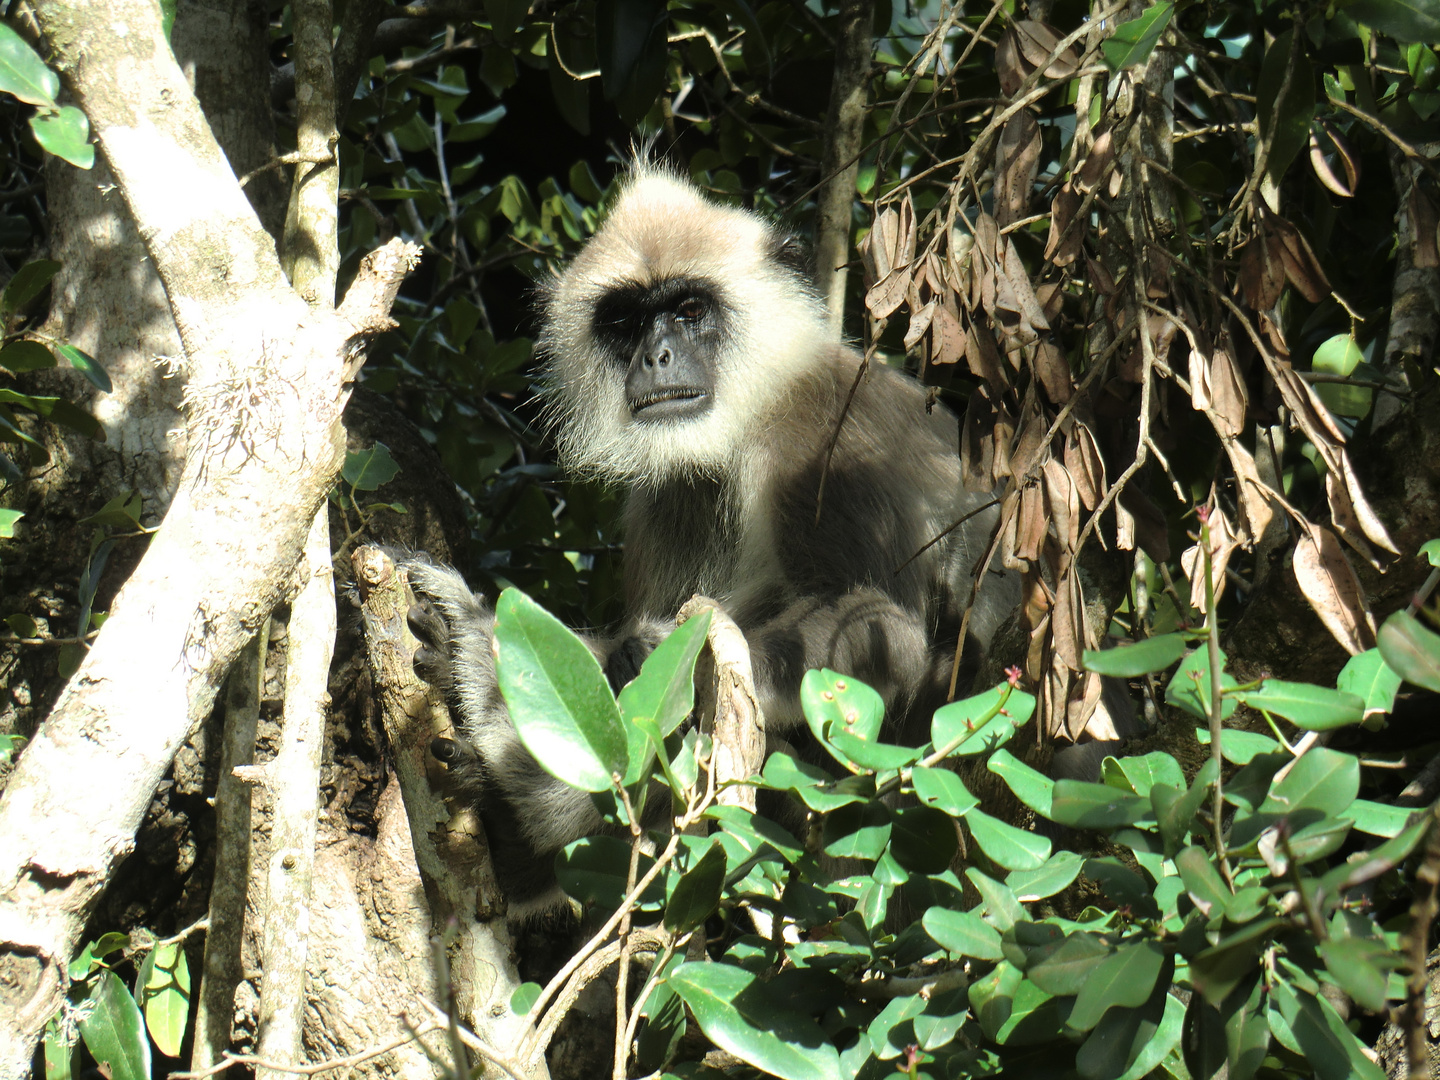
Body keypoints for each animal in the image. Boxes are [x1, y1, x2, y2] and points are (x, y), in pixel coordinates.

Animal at [411, 164, 1031, 915]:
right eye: (626, 321)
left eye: (688, 310)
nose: (657, 355)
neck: (751, 414)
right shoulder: (666, 496)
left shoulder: (826, 444)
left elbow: (884, 629)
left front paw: (641, 657)